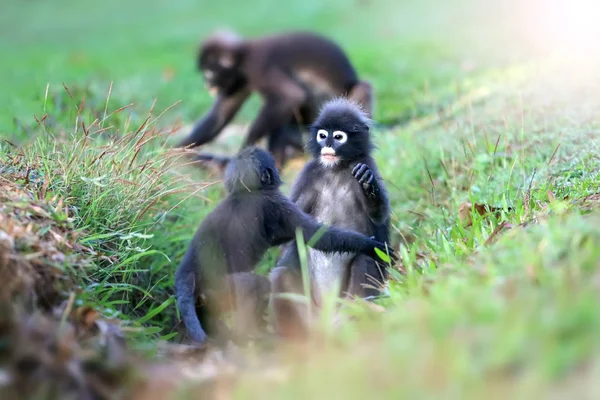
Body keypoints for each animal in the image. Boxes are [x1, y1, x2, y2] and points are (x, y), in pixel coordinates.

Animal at [173, 145, 394, 346]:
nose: (278, 172)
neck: (244, 193)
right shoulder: (276, 204)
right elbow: (316, 235)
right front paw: (370, 245)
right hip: (219, 290)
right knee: (254, 286)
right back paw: (250, 335)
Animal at [178, 29, 376, 169]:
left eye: (209, 72)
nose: (207, 83)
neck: (243, 57)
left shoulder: (257, 66)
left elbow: (291, 96)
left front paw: (246, 150)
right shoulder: (240, 80)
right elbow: (221, 114)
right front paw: (176, 150)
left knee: (363, 87)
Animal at [270, 97, 392, 340]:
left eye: (338, 137)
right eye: (322, 135)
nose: (327, 146)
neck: (337, 168)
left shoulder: (367, 162)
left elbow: (379, 216)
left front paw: (368, 185)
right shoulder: (310, 172)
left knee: (365, 259)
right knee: (279, 275)